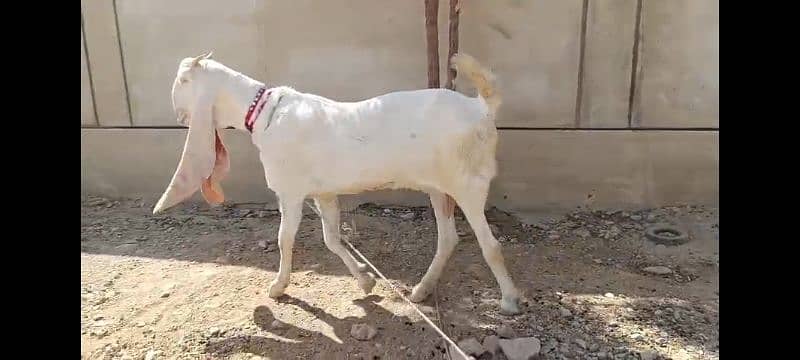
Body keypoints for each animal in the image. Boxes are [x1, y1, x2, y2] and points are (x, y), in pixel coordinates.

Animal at [152, 52, 520, 314]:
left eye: (182, 81)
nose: (178, 116)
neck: (264, 113)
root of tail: (482, 107)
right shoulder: (324, 192)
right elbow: (332, 239)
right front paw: (365, 280)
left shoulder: (290, 191)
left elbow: (285, 238)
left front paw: (278, 287)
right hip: (438, 187)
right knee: (448, 239)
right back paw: (421, 290)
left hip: (467, 183)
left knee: (489, 244)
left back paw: (509, 300)